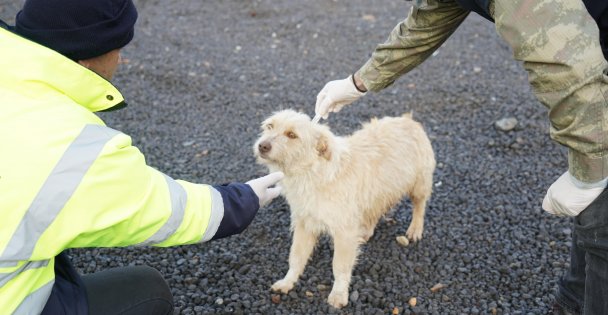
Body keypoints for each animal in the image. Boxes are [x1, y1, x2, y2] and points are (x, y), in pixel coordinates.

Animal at [253, 110, 436, 310]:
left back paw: (415, 228)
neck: (313, 173)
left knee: (419, 205)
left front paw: (339, 294)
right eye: (270, 126)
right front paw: (288, 281)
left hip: (419, 183)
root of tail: (407, 119)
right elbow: (296, 256)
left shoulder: (344, 232)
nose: (262, 146)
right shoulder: (305, 224)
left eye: (292, 135)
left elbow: (339, 266)